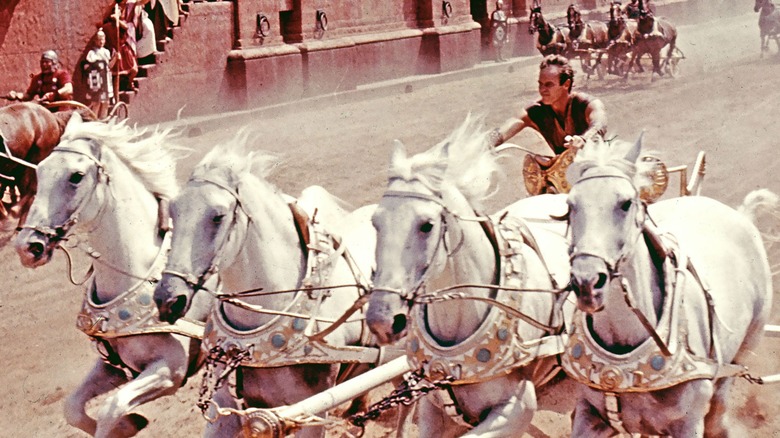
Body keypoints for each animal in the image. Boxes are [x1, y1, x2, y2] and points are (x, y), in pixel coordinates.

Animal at [15, 114, 215, 438]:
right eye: (40, 170)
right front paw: (130, 424)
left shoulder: (169, 369)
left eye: (76, 176)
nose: (27, 246)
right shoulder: (111, 365)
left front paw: (125, 423)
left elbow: (112, 407)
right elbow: (72, 407)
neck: (136, 275)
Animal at [560, 135, 772, 436]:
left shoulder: (688, 424)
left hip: (745, 348)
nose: (586, 282)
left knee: (721, 400)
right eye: (570, 205)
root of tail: (741, 215)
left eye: (626, 203)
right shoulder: (590, 414)